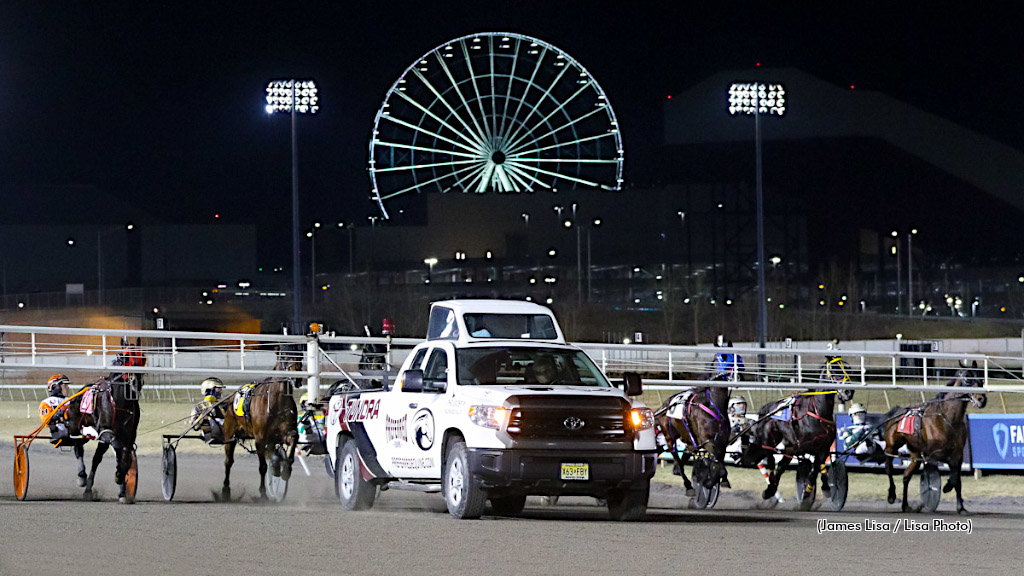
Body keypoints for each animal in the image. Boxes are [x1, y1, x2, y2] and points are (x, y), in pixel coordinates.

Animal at [221, 344, 303, 498]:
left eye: (300, 356)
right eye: (284, 356)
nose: (297, 378)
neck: (276, 401)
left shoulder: (283, 433)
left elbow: (293, 440)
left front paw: (285, 470)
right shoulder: (260, 438)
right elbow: (263, 467)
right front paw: (263, 493)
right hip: (229, 436)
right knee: (228, 462)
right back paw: (225, 489)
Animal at [741, 381, 851, 510]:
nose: (848, 391)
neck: (816, 412)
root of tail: (767, 407)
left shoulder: (822, 448)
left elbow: (815, 470)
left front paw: (820, 490)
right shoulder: (799, 446)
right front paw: (806, 496)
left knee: (781, 465)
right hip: (770, 440)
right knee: (772, 460)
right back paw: (769, 490)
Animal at [880, 362, 983, 510]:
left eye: (981, 378)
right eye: (968, 378)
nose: (982, 399)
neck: (947, 418)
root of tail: (897, 411)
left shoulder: (958, 453)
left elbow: (957, 477)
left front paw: (960, 507)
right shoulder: (935, 453)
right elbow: (952, 473)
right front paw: (946, 486)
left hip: (915, 453)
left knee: (906, 476)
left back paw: (905, 505)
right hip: (892, 446)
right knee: (889, 467)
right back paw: (892, 495)